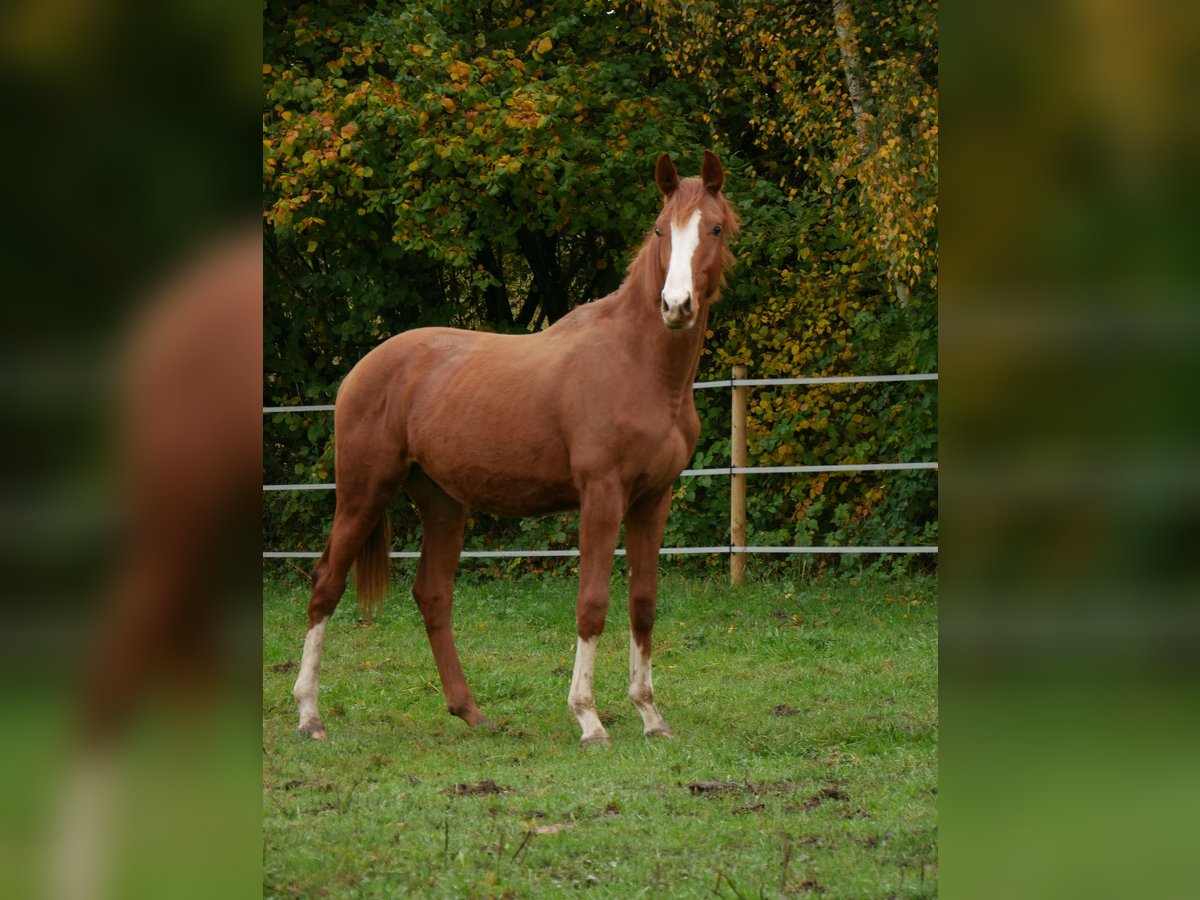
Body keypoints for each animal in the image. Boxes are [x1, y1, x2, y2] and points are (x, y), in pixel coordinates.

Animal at [295, 153, 734, 748]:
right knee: (326, 585)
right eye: (662, 229)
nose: (676, 305)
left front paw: (649, 714)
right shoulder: (602, 496)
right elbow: (592, 603)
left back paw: (470, 712)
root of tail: (363, 369)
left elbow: (643, 603)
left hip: (442, 503)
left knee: (433, 595)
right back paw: (309, 714)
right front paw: (588, 719)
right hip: (364, 493)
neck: (638, 364)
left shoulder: (653, 498)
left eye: (714, 228)